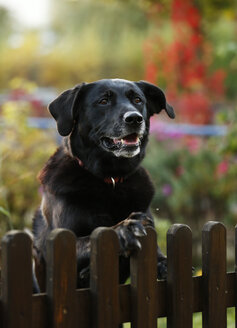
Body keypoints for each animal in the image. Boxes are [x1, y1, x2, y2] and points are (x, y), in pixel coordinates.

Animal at [32, 79, 174, 290]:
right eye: (103, 101)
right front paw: (124, 229)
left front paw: (164, 263)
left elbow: (157, 253)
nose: (135, 118)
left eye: (138, 100)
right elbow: (93, 238)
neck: (111, 180)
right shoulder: (57, 245)